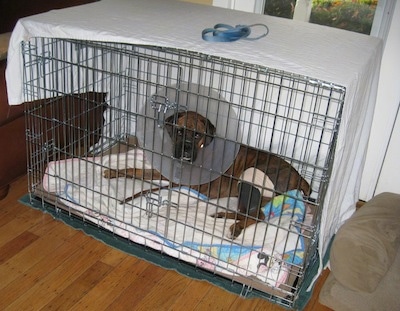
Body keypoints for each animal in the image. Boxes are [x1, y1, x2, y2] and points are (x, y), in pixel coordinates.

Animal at [103, 111, 310, 239]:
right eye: (180, 131)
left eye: (197, 135)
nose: (185, 150)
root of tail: (300, 177)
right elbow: (136, 171)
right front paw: (114, 172)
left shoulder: (183, 184)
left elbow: (148, 186)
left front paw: (131, 197)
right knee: (248, 213)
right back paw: (221, 214)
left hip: (250, 180)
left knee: (258, 215)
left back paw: (235, 228)